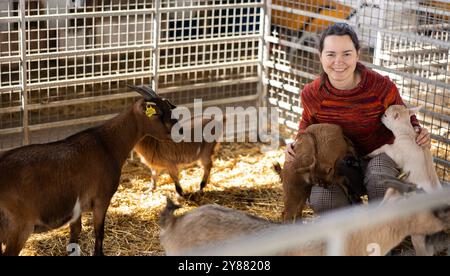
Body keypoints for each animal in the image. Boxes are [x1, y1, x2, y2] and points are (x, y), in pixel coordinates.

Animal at [0, 85, 178, 256]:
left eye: (168, 107)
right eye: (158, 113)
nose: (178, 130)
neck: (107, 144)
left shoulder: (76, 207)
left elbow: (75, 233)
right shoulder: (101, 198)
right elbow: (99, 232)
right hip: (20, 227)